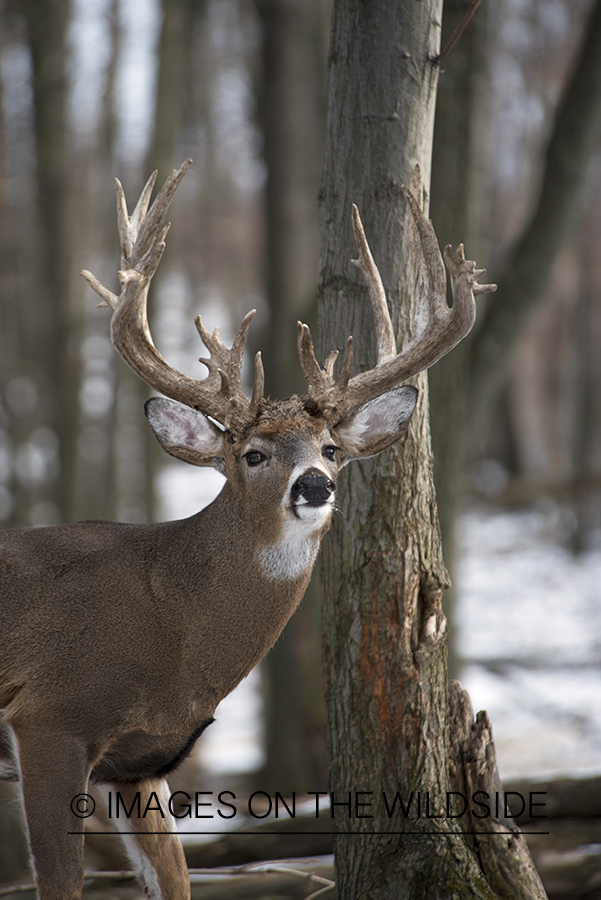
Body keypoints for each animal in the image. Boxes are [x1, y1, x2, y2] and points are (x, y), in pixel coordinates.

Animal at [0, 158, 492, 896]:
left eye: (331, 450)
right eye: (253, 454)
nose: (314, 485)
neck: (175, 623)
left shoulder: (141, 764)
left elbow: (175, 881)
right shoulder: (49, 717)